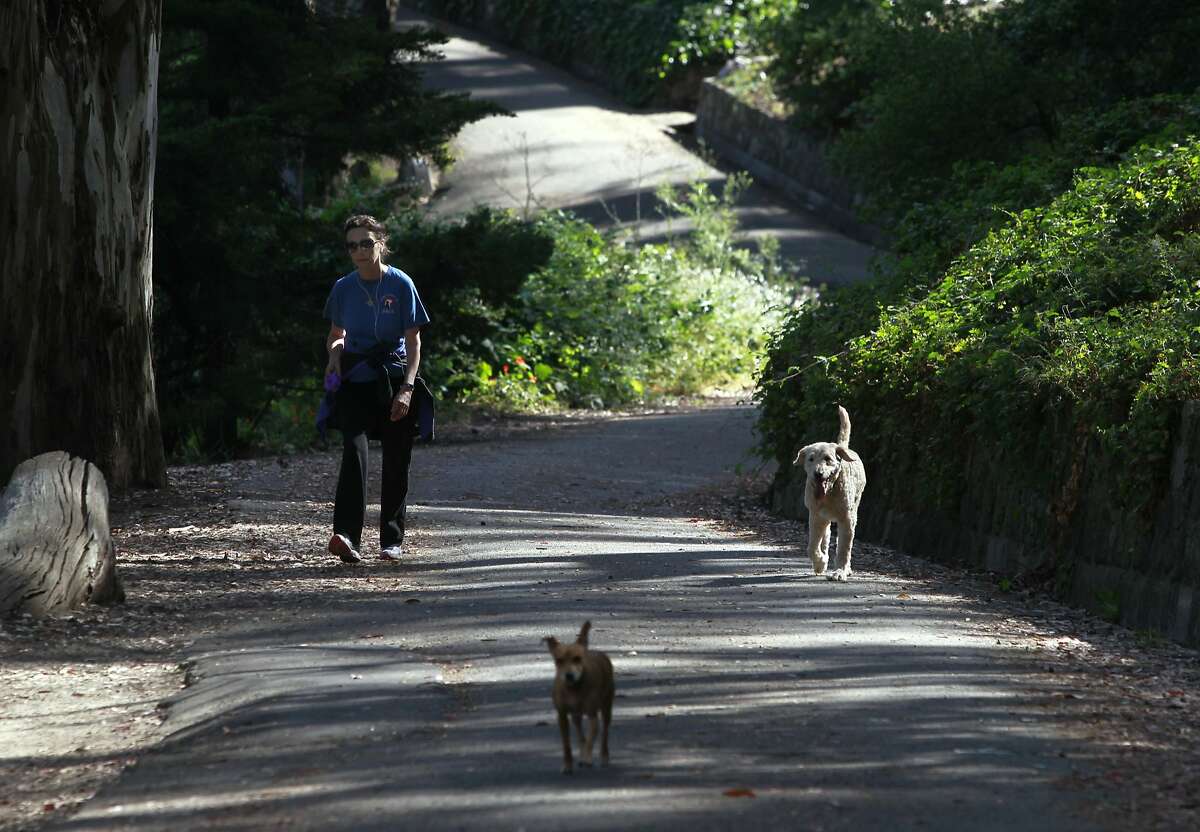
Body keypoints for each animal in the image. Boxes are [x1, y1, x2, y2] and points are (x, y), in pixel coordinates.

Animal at [547, 614, 614, 773]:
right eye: (559, 660)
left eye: (577, 658)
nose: (569, 675)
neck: (574, 689)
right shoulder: (562, 717)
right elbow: (567, 745)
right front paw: (567, 765)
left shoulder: (592, 715)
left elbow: (591, 739)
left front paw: (587, 758)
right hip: (575, 716)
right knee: (579, 732)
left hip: (607, 706)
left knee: (604, 733)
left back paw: (603, 757)